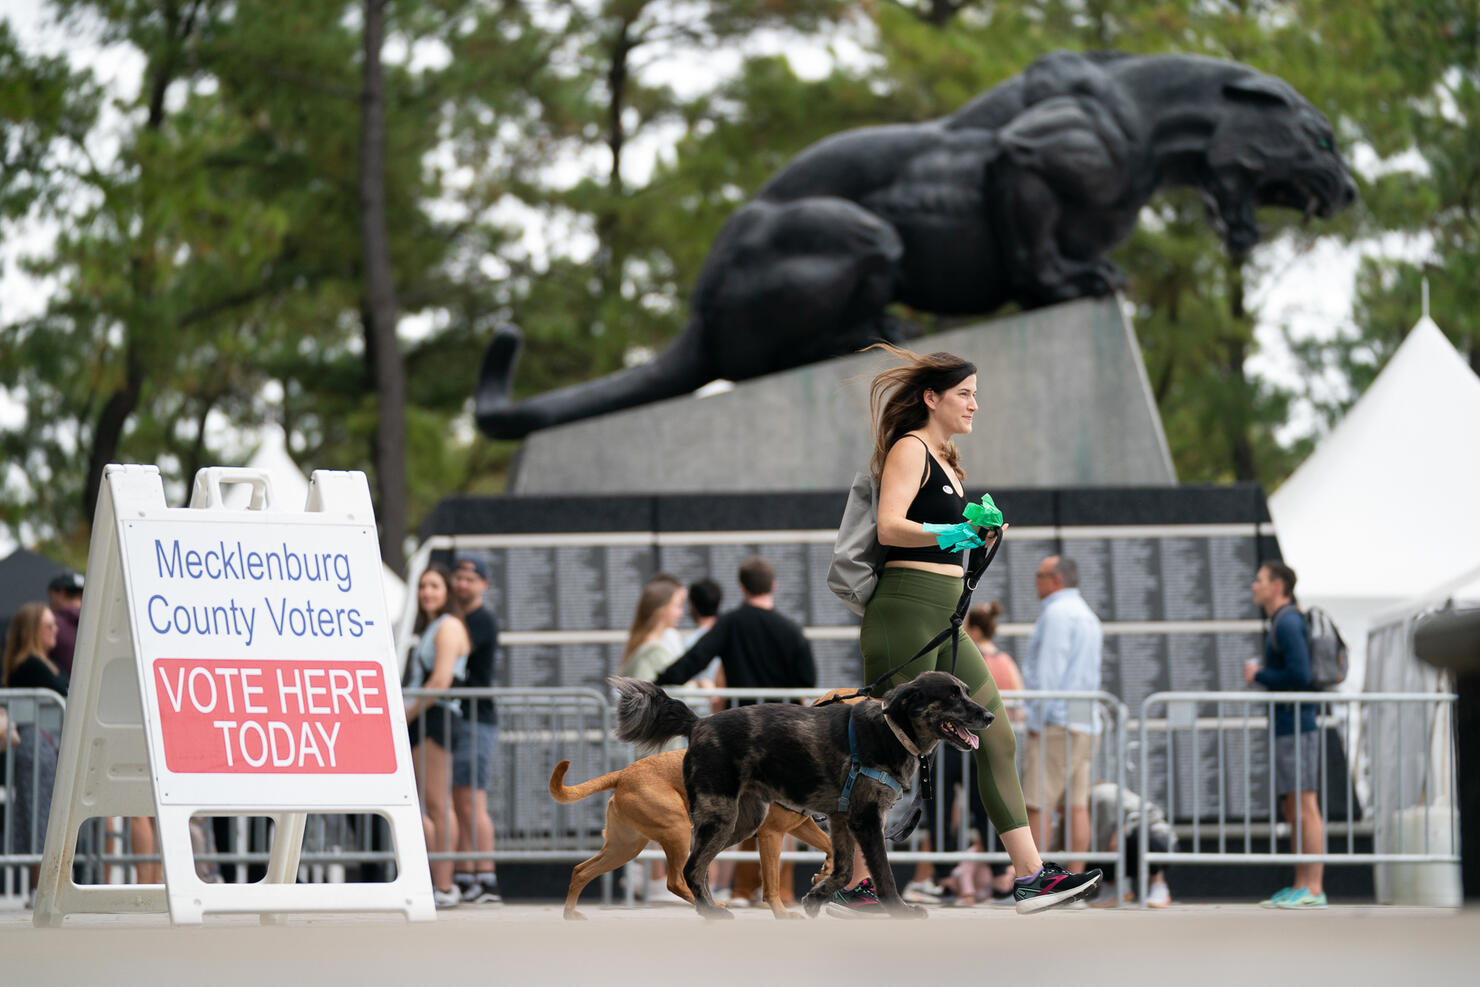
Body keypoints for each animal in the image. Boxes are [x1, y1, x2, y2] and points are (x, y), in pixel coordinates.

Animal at [612, 668, 994, 923]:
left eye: (966, 691)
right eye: (952, 696)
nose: (990, 715)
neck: (892, 730)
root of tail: (698, 724)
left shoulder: (842, 819)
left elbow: (842, 869)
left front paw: (815, 897)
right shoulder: (867, 820)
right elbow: (883, 872)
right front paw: (899, 910)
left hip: (743, 820)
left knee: (699, 867)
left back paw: (709, 906)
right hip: (721, 814)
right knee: (692, 866)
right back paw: (710, 912)